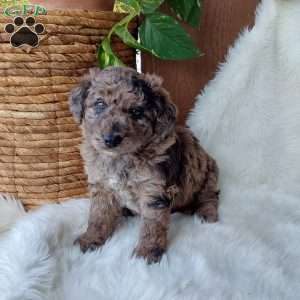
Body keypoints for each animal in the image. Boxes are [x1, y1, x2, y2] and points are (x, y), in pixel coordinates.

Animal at [69, 67, 219, 264]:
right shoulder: (102, 186)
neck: (121, 157)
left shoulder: (154, 190)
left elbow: (152, 225)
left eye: (136, 112)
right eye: (99, 104)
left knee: (210, 196)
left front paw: (147, 253)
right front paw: (90, 239)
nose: (111, 139)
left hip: (207, 173)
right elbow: (98, 215)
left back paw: (206, 214)